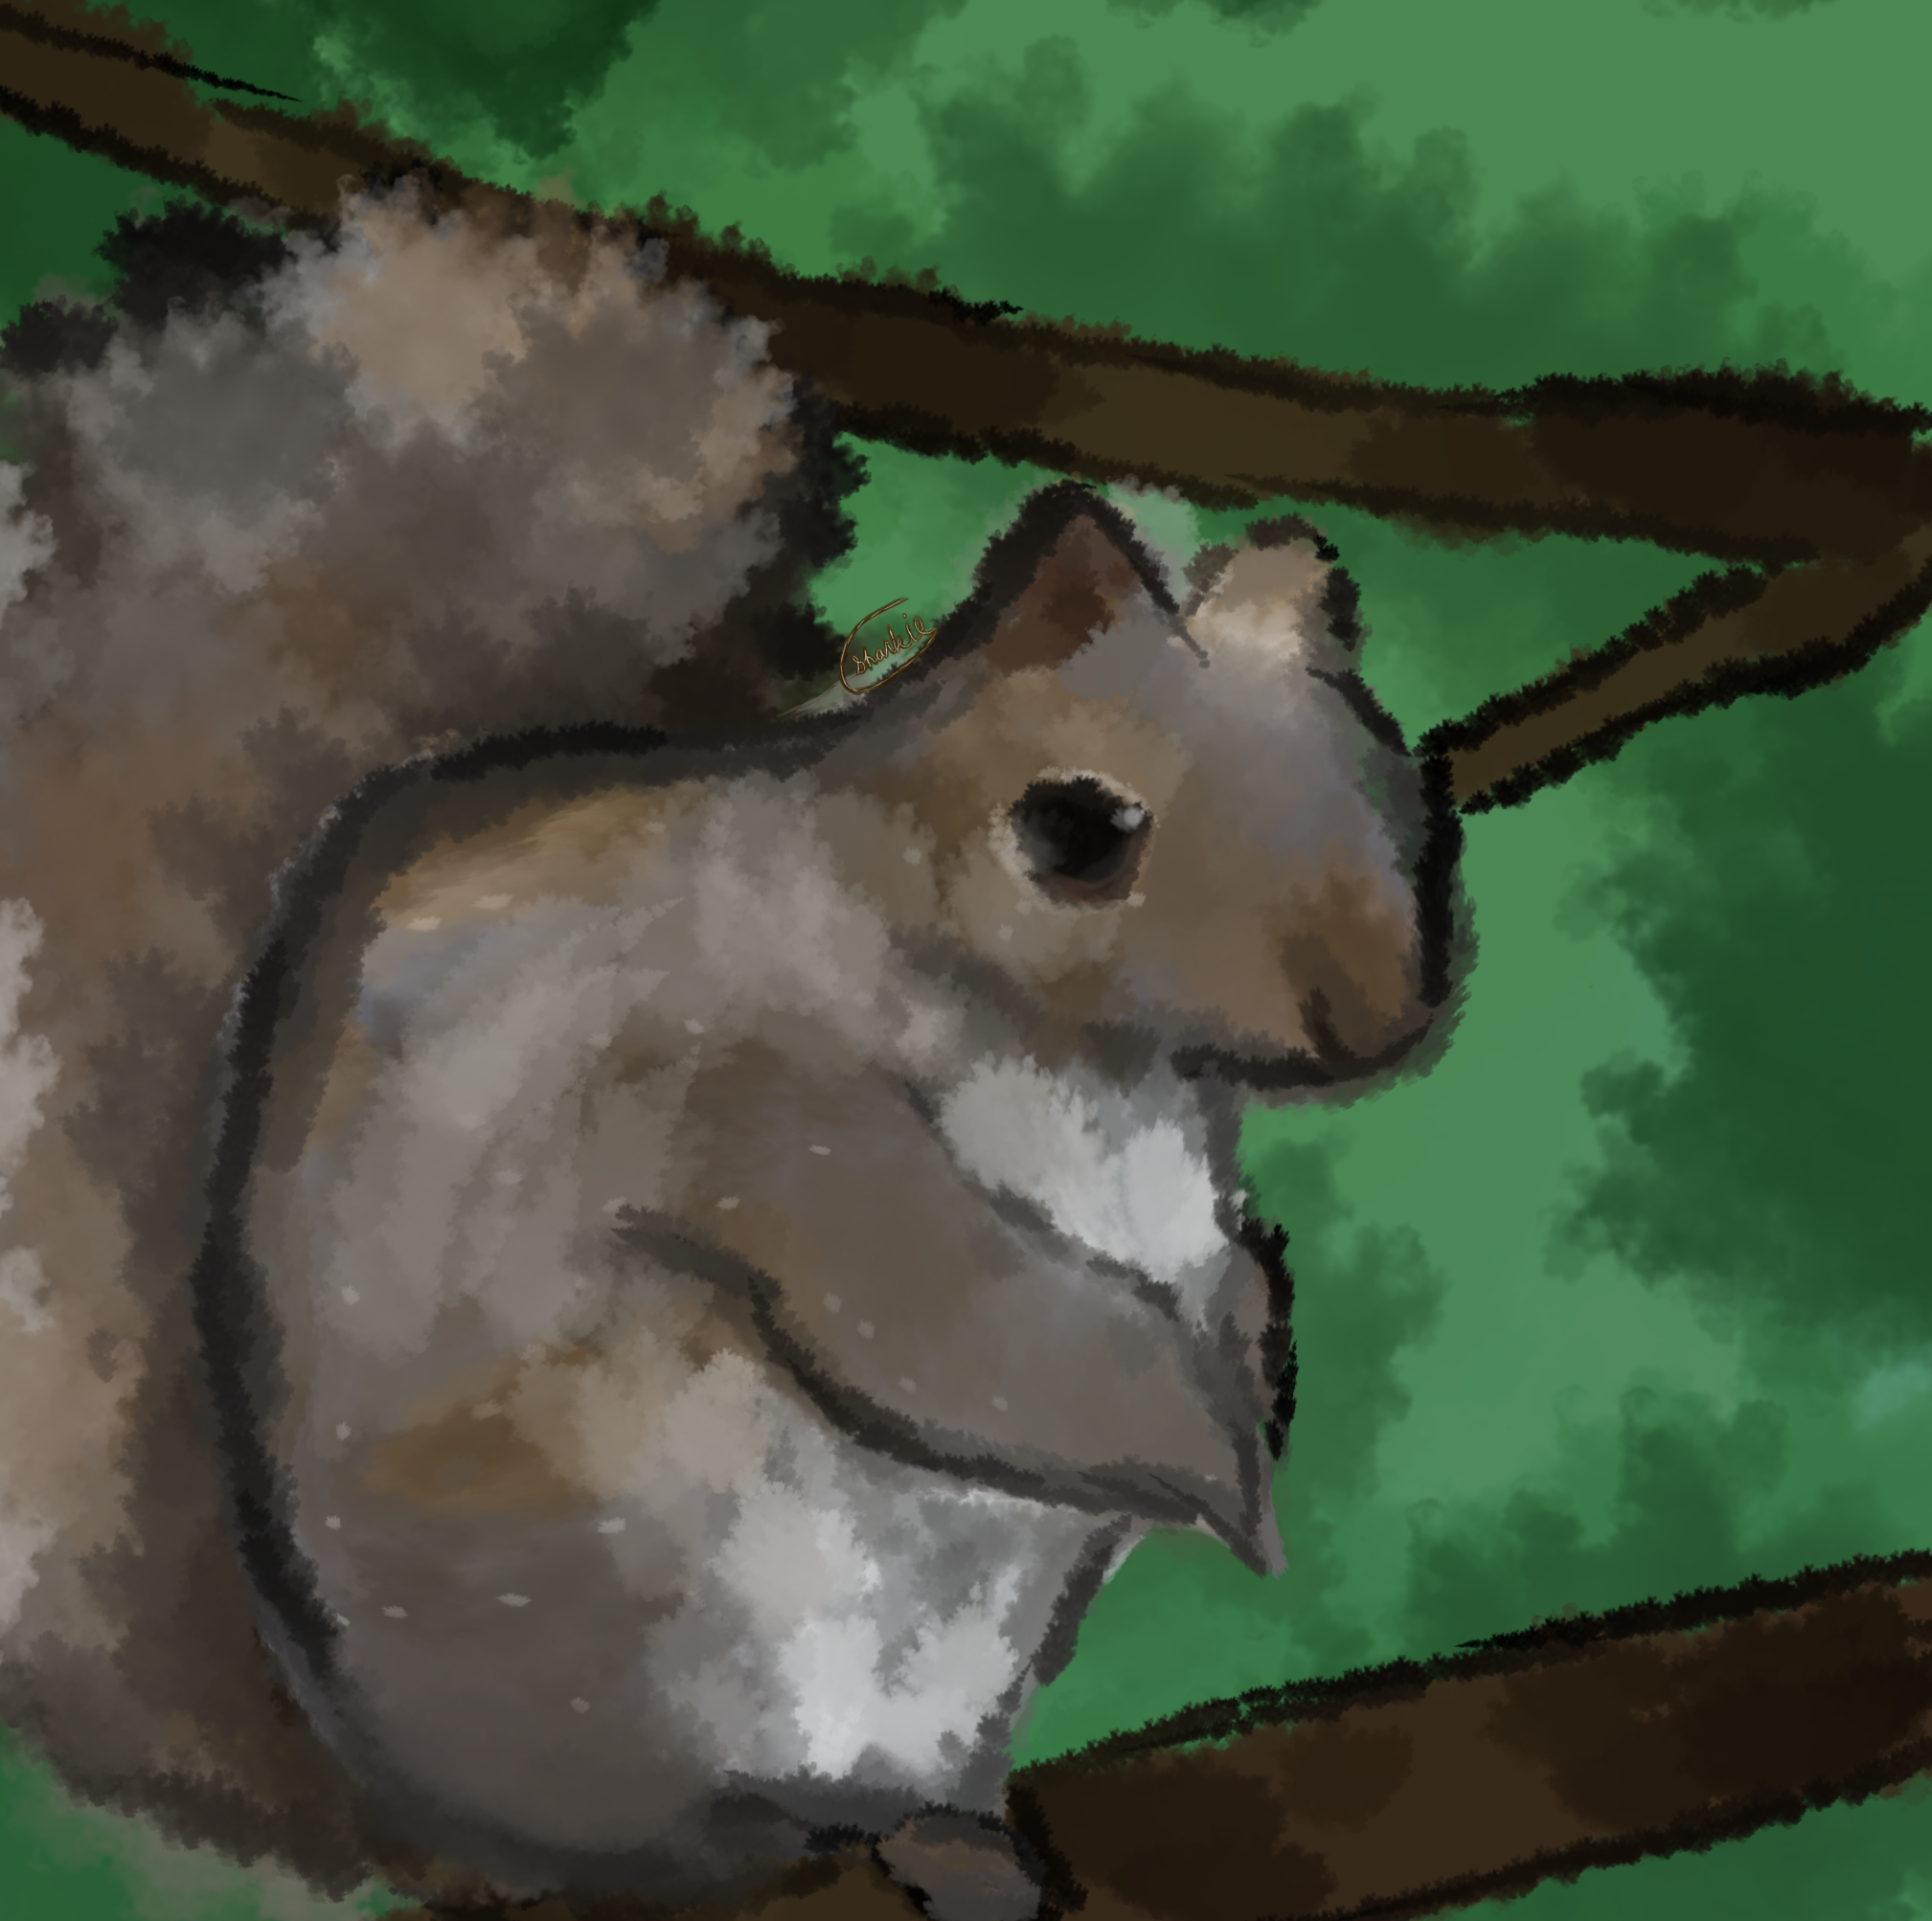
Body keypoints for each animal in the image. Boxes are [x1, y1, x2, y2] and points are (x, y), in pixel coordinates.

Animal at [0, 179, 1467, 1919]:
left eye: (1385, 773)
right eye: (1073, 830)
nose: (1378, 1017)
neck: (1097, 1065)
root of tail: (432, 1821)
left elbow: (1196, 1280)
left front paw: (1251, 1333)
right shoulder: (748, 1098)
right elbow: (949, 1323)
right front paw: (1228, 1478)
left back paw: (955, 1829)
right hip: (661, 1569)